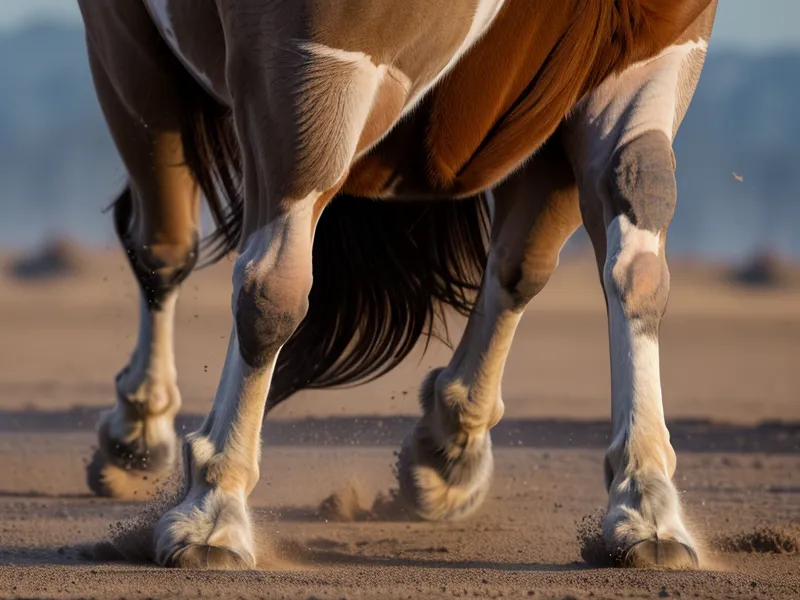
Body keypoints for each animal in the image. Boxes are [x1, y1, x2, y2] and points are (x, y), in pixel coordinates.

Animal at [77, 0, 719, 570]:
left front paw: (646, 506)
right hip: (134, 64)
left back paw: (450, 448)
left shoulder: (641, 60)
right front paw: (213, 511)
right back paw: (138, 432)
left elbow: (636, 273)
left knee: (521, 264)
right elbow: (272, 291)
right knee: (165, 246)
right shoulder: (309, 56)